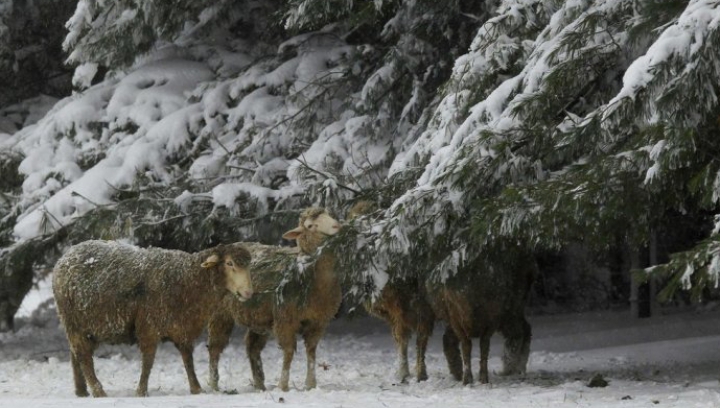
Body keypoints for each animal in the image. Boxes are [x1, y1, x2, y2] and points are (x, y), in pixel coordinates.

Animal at [51, 241, 253, 396]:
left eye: (248, 265)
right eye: (229, 263)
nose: (248, 292)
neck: (187, 280)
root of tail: (64, 257)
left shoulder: (182, 327)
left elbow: (188, 359)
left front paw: (196, 388)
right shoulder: (149, 325)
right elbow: (148, 361)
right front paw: (142, 391)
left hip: (85, 327)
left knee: (75, 355)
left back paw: (81, 391)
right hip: (73, 322)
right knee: (83, 356)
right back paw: (98, 391)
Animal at [208, 207, 344, 392]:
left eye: (329, 215)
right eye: (310, 225)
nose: (337, 226)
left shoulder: (318, 321)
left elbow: (311, 351)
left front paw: (310, 385)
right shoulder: (285, 319)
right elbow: (288, 352)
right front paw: (283, 385)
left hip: (258, 318)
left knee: (252, 347)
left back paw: (259, 384)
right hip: (220, 314)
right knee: (215, 348)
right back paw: (214, 384)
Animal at [424, 244, 536, 384]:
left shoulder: (491, 320)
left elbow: (484, 346)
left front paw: (483, 378)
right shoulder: (457, 319)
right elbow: (466, 346)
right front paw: (467, 379)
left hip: (511, 309)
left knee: (519, 332)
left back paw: (512, 368)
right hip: (510, 310)